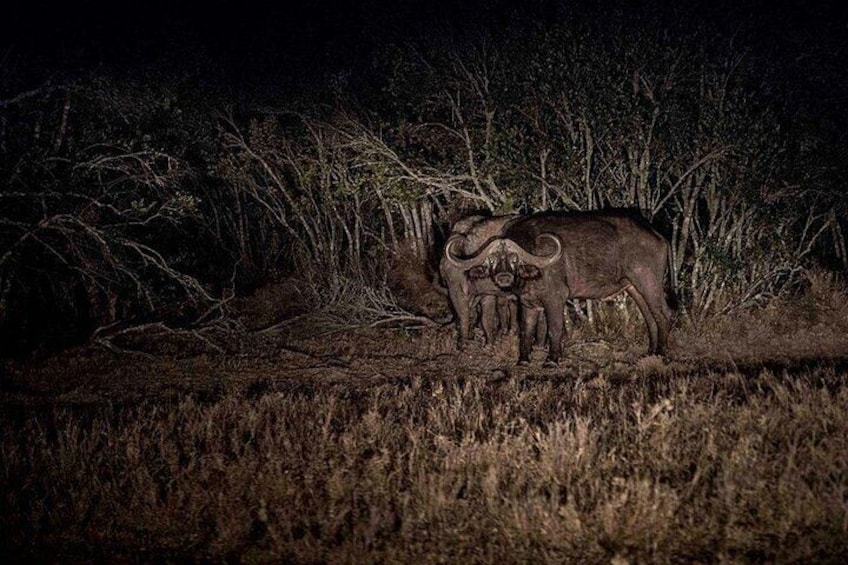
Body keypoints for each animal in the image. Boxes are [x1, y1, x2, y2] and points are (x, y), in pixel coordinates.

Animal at [444, 209, 676, 364]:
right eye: (492, 260)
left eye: (513, 258)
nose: (503, 277)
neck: (533, 272)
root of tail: (659, 236)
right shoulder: (528, 303)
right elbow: (526, 330)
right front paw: (523, 359)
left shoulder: (555, 298)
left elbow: (555, 328)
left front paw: (552, 359)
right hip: (633, 287)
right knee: (650, 317)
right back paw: (650, 352)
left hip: (648, 281)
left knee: (663, 314)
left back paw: (662, 354)